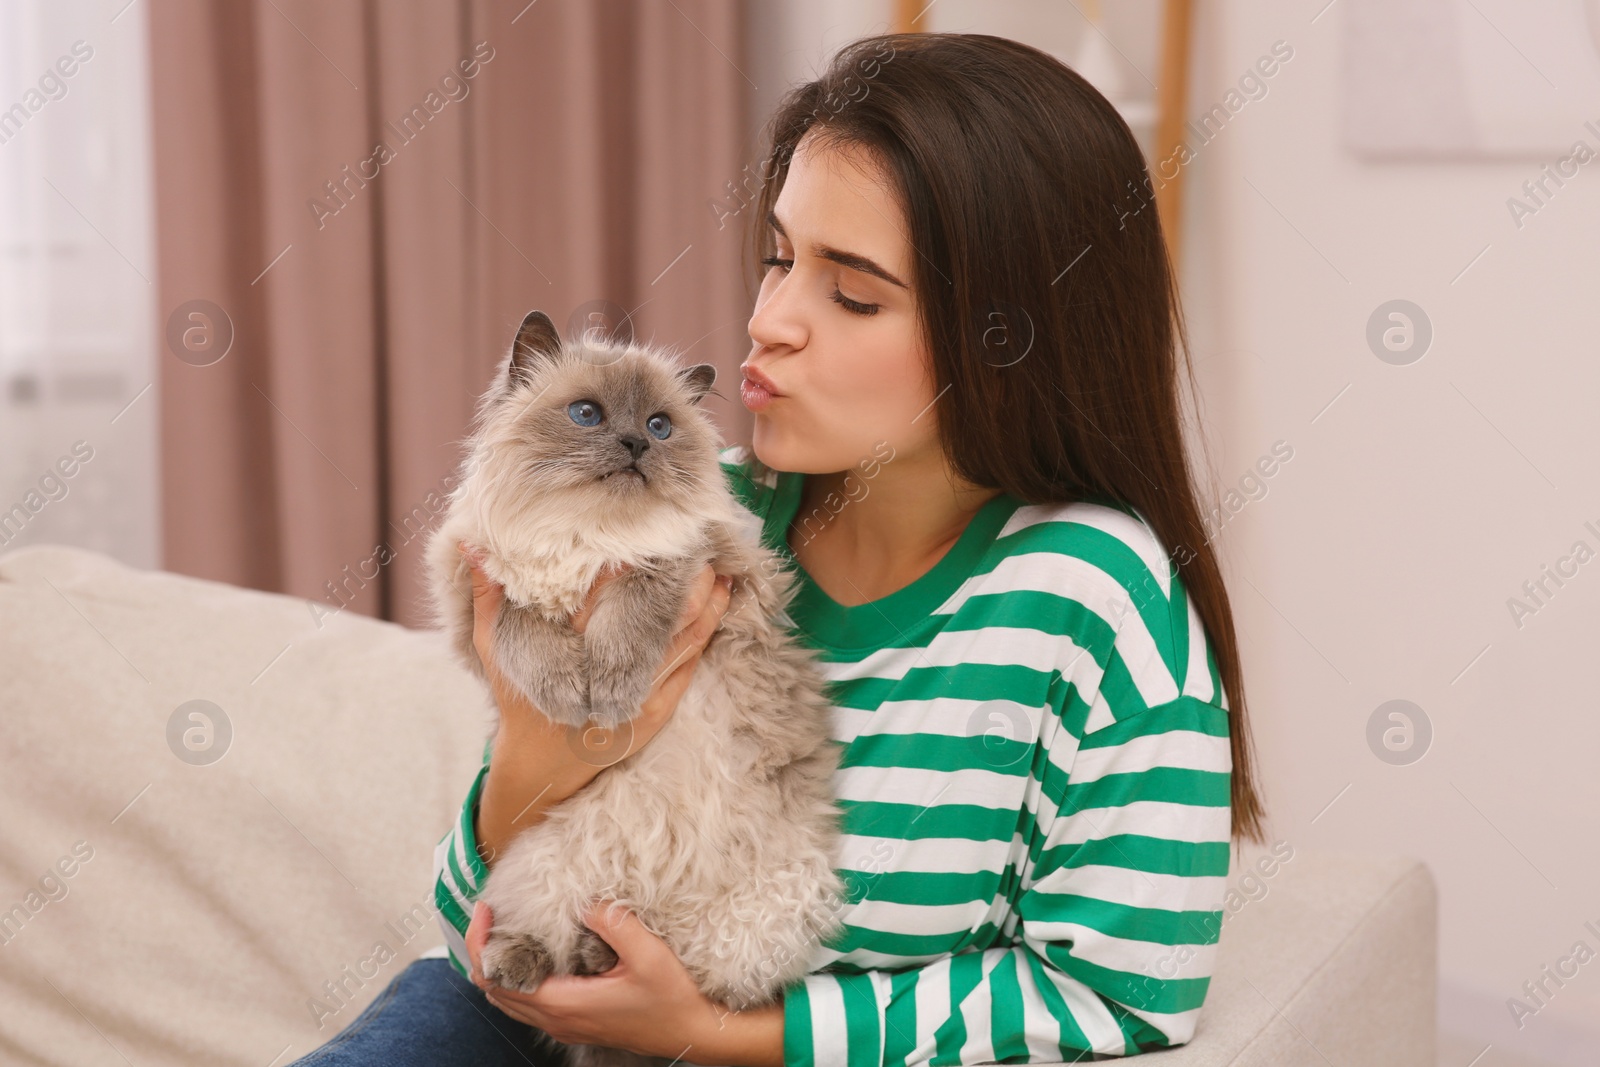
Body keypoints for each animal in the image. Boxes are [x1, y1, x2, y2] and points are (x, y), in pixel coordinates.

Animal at [425, 308, 851, 1067]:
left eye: (659, 425)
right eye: (586, 414)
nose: (632, 444)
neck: (588, 533)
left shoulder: (697, 560)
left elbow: (636, 601)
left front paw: (611, 691)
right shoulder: (473, 589)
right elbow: (525, 626)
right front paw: (573, 692)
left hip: (766, 909)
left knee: (682, 966)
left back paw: (605, 952)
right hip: (543, 866)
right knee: (558, 935)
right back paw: (524, 962)